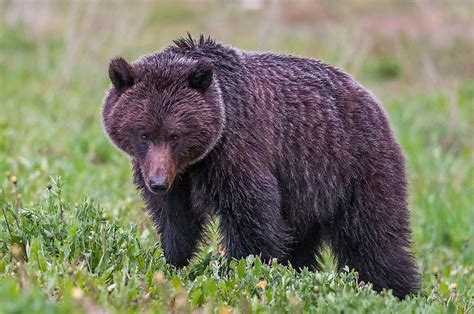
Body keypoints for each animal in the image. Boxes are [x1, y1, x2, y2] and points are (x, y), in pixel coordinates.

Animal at [103, 35, 418, 300]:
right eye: (144, 134)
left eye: (175, 135)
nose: (157, 182)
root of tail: (371, 100)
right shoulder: (175, 177)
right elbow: (176, 220)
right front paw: (173, 262)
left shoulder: (235, 151)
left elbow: (250, 218)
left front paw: (242, 274)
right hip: (304, 193)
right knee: (302, 242)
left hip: (351, 166)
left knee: (372, 236)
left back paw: (394, 290)